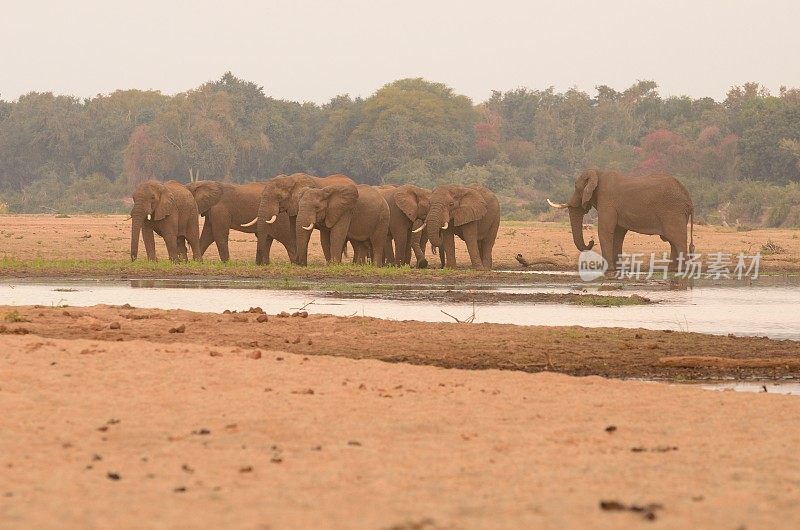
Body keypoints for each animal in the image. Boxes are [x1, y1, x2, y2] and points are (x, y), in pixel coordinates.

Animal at [552, 167, 692, 270]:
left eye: (576, 188)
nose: (591, 241)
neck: (597, 173)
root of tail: (687, 195)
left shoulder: (607, 201)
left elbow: (605, 231)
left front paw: (607, 270)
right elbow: (618, 234)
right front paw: (617, 269)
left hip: (673, 211)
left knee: (677, 239)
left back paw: (682, 270)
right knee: (673, 241)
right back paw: (672, 270)